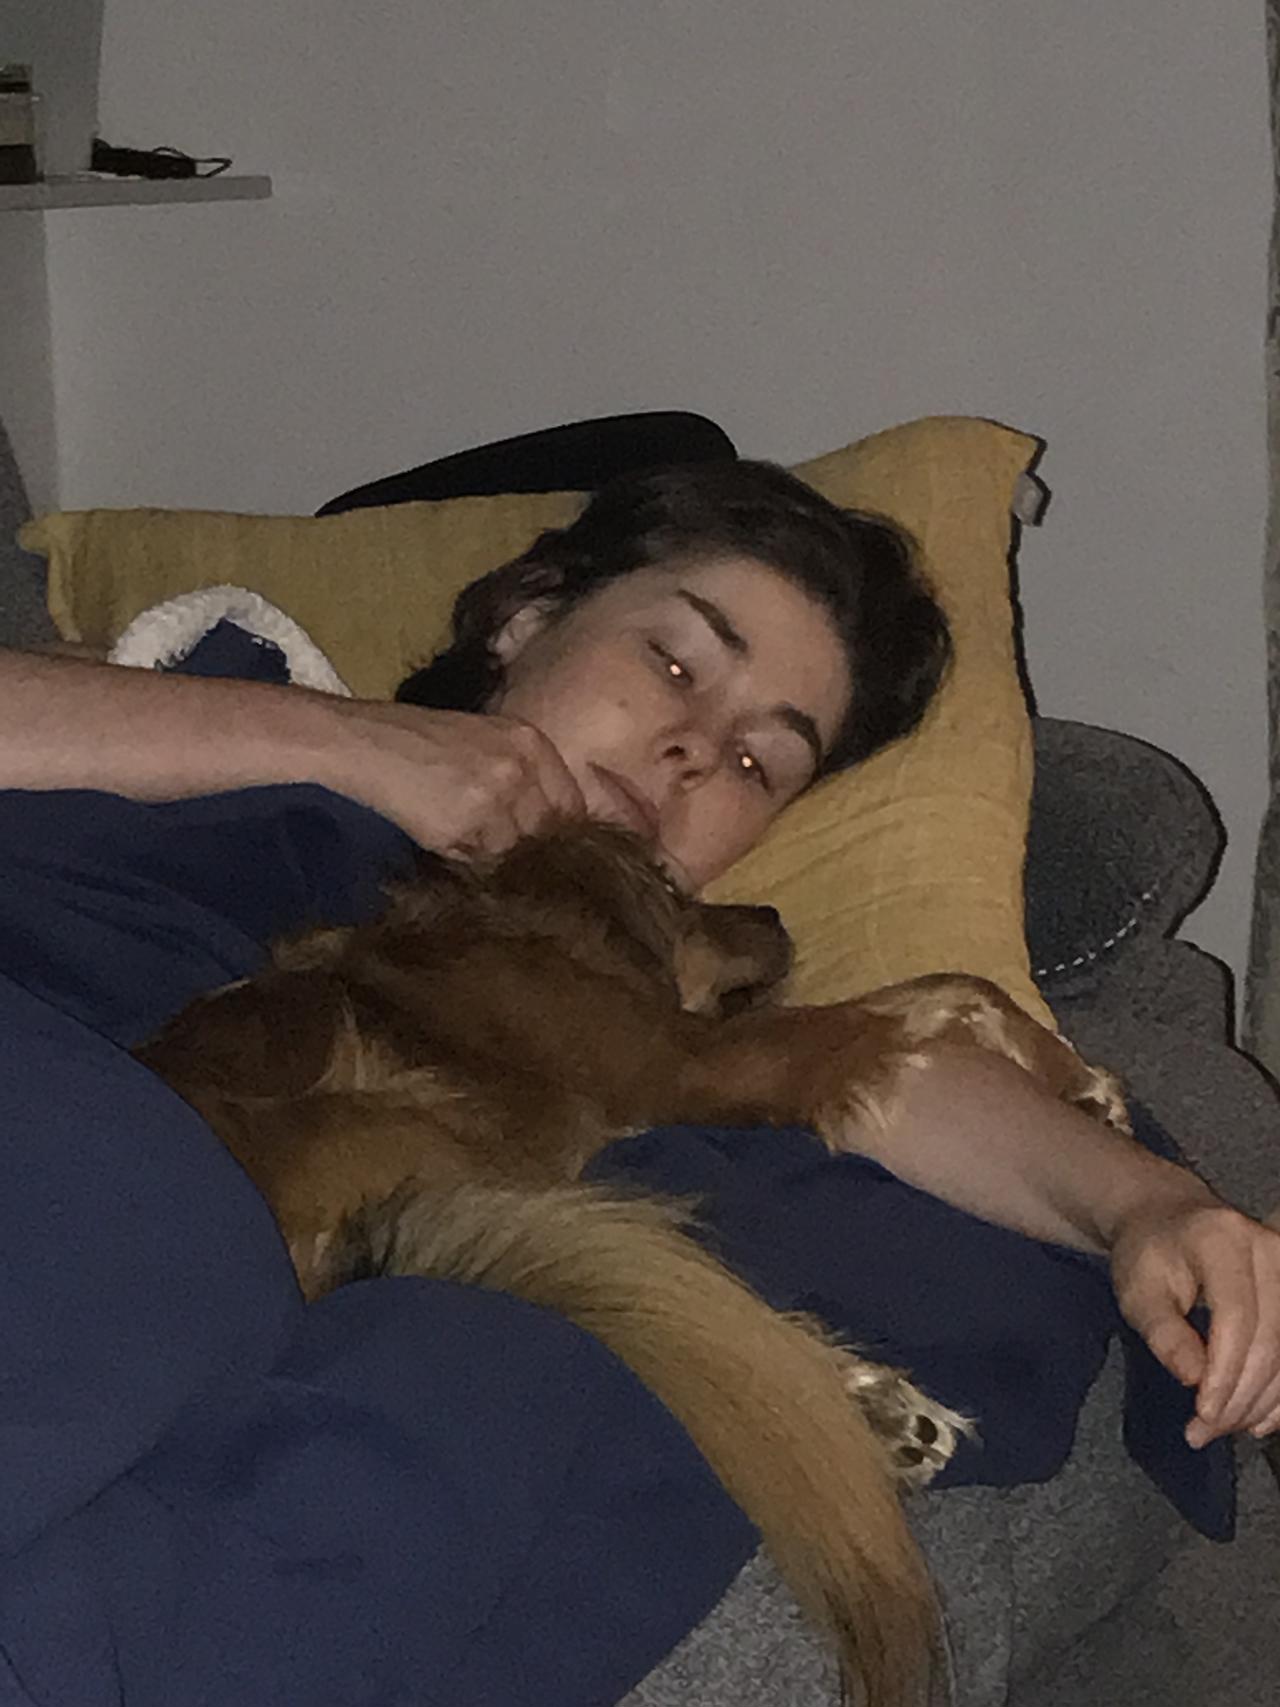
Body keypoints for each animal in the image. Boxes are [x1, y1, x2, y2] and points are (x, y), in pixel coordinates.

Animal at [137, 822, 1128, 1707]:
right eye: (667, 885)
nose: (772, 911)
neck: (520, 924)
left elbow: (957, 991)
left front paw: (1075, 1082)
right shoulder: (702, 1063)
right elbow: (948, 992)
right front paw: (1066, 1077)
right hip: (421, 1124)